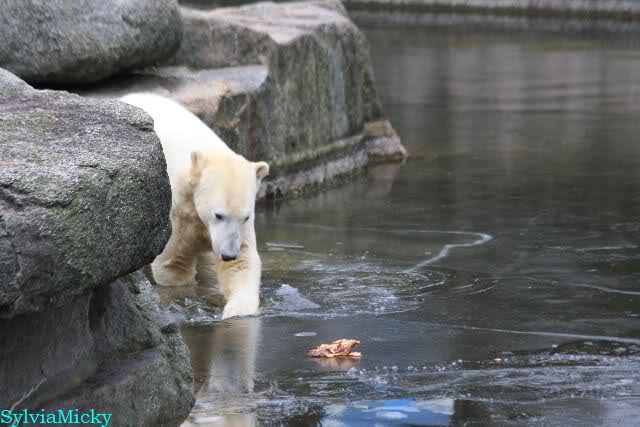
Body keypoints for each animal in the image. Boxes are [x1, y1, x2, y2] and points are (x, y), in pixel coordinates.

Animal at [121, 93, 269, 319]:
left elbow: (242, 264)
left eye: (245, 217)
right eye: (218, 215)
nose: (228, 254)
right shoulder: (177, 213)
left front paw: (235, 311)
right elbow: (174, 265)